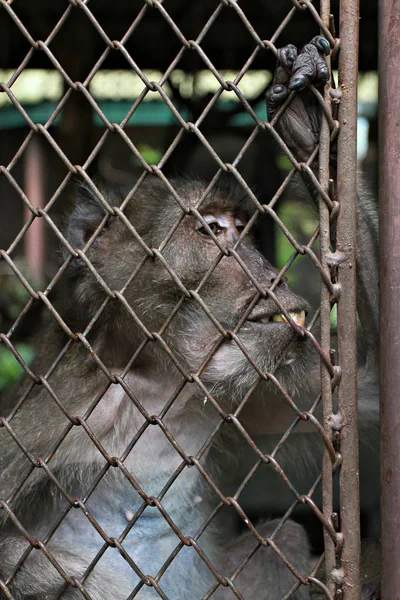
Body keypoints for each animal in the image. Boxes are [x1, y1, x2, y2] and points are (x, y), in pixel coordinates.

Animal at [0, 38, 380, 600]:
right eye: (210, 230)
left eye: (240, 227)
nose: (270, 272)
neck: (155, 386)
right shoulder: (47, 418)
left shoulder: (248, 393)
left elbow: (368, 386)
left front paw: (307, 124)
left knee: (280, 538)